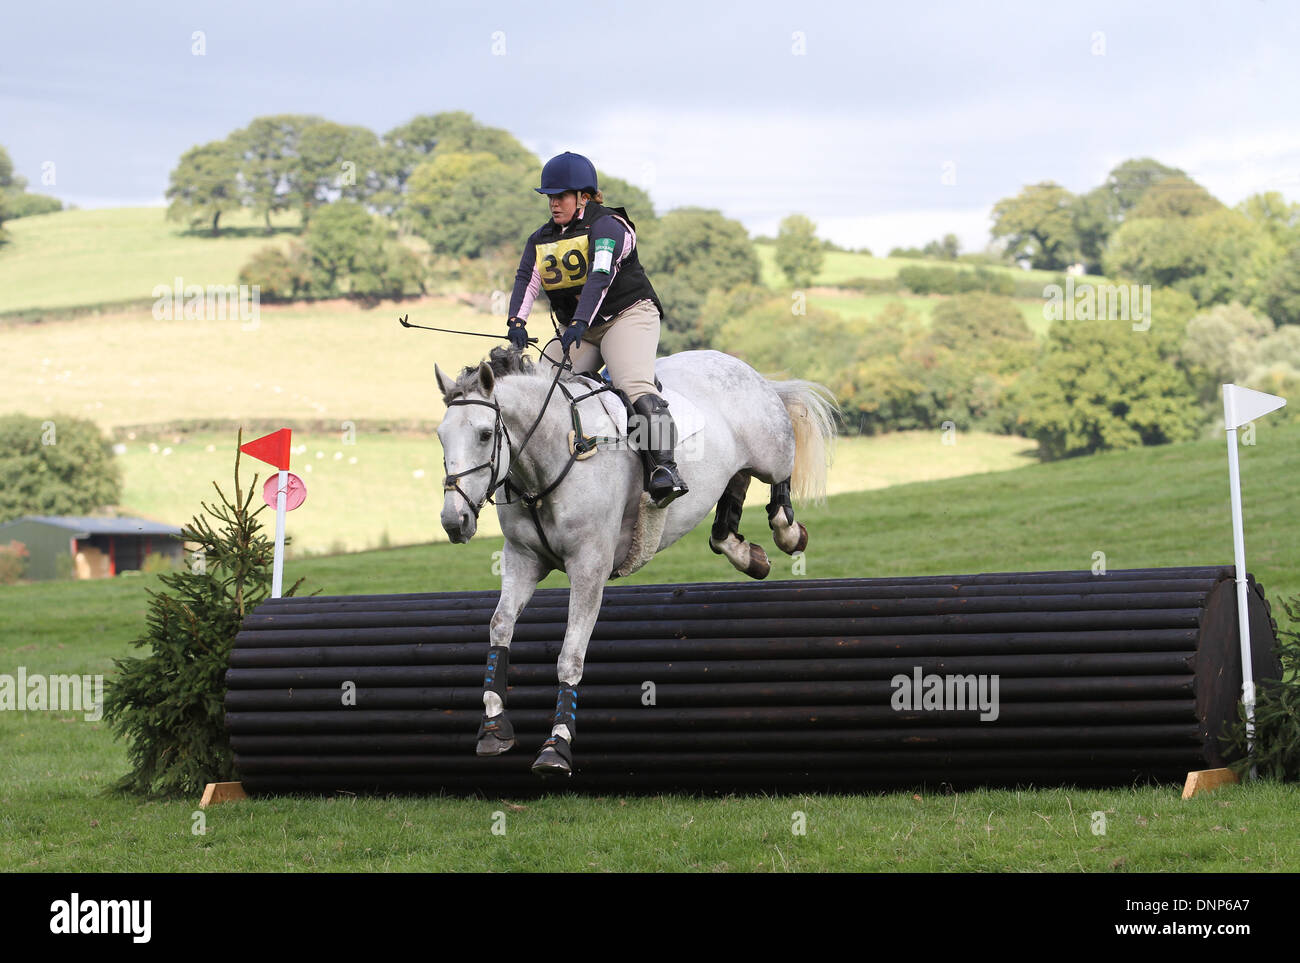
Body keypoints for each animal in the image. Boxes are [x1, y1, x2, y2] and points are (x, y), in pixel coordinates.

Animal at [436, 345, 842, 774]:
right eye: (441, 436)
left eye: (485, 434)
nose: (453, 521)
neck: (551, 458)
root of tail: (741, 365)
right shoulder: (521, 559)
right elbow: (500, 628)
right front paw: (494, 726)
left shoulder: (589, 566)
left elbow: (570, 656)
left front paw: (557, 745)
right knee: (731, 503)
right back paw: (750, 557)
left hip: (769, 451)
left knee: (778, 482)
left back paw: (788, 534)